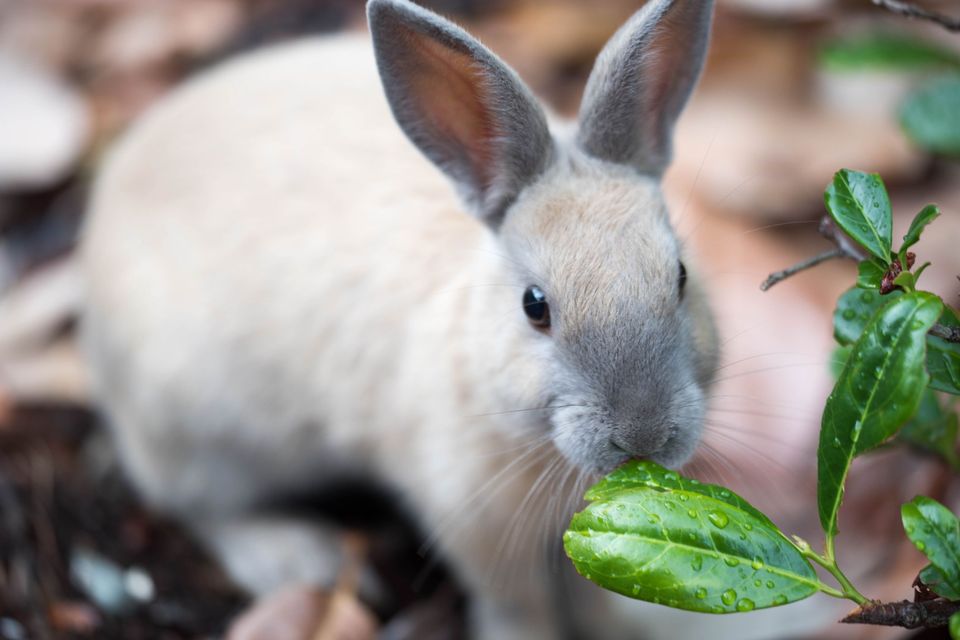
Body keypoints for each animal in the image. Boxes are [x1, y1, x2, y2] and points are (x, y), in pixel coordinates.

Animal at [82, 0, 724, 636]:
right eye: (535, 306)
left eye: (681, 276)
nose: (643, 435)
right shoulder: (471, 519)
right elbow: (516, 603)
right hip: (201, 432)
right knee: (198, 507)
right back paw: (296, 557)